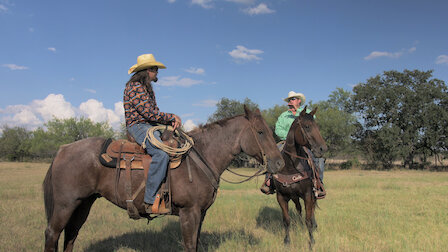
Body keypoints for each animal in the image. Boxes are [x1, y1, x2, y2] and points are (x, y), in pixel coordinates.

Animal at [44, 107, 284, 252]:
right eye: (260, 132)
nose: (280, 163)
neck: (202, 157)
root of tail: (62, 150)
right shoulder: (189, 212)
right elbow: (189, 245)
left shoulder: (201, 214)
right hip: (66, 205)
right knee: (52, 233)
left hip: (83, 204)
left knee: (71, 234)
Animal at [272, 106, 328, 248]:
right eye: (307, 126)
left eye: (317, 126)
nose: (323, 149)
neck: (290, 167)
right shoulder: (281, 196)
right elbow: (286, 220)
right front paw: (286, 241)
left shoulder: (308, 194)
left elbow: (308, 219)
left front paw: (311, 242)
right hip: (294, 196)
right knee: (298, 209)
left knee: (311, 211)